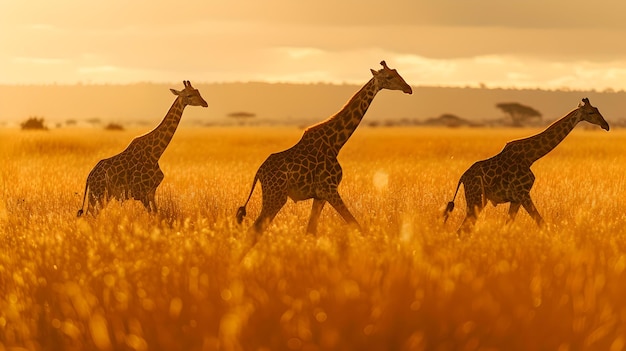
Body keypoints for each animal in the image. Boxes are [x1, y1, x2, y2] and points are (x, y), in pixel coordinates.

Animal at [77, 81, 208, 216]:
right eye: (189, 95)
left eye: (198, 91)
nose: (205, 103)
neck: (155, 155)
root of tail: (89, 177)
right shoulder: (141, 193)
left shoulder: (151, 192)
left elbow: (156, 213)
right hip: (99, 194)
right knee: (91, 214)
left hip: (101, 195)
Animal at [236, 61, 412, 242]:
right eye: (389, 77)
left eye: (397, 72)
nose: (408, 88)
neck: (335, 143)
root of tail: (259, 173)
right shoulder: (330, 189)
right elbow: (355, 224)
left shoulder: (320, 195)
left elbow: (311, 230)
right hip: (276, 196)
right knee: (254, 231)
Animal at [442, 97, 608, 234]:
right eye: (591, 112)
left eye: (598, 109)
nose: (606, 125)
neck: (530, 157)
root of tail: (462, 177)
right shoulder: (523, 193)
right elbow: (541, 223)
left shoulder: (516, 199)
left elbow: (507, 227)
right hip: (475, 198)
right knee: (462, 230)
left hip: (481, 200)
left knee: (465, 229)